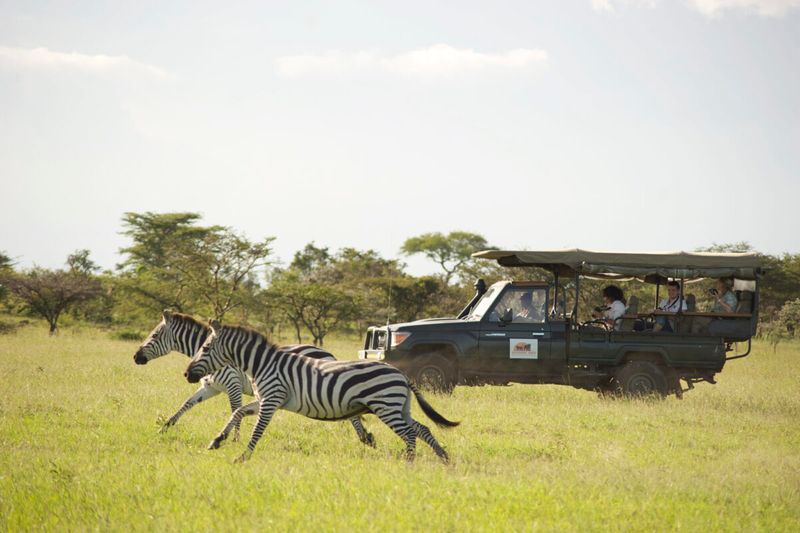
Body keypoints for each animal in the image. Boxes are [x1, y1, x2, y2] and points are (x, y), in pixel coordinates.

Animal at [134, 308, 376, 444]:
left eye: (154, 335)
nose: (135, 357)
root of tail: (327, 353)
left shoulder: (231, 385)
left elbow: (235, 410)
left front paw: (234, 439)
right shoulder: (210, 387)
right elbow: (186, 404)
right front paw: (165, 426)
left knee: (353, 413)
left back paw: (365, 438)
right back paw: (366, 437)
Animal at [185, 320, 460, 462]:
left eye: (205, 348)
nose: (187, 375)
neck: (263, 364)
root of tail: (401, 374)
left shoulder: (271, 399)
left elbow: (257, 430)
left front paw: (242, 457)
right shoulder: (266, 399)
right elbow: (238, 412)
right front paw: (217, 441)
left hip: (386, 407)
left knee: (410, 433)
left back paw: (409, 462)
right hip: (398, 407)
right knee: (422, 429)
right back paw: (443, 457)